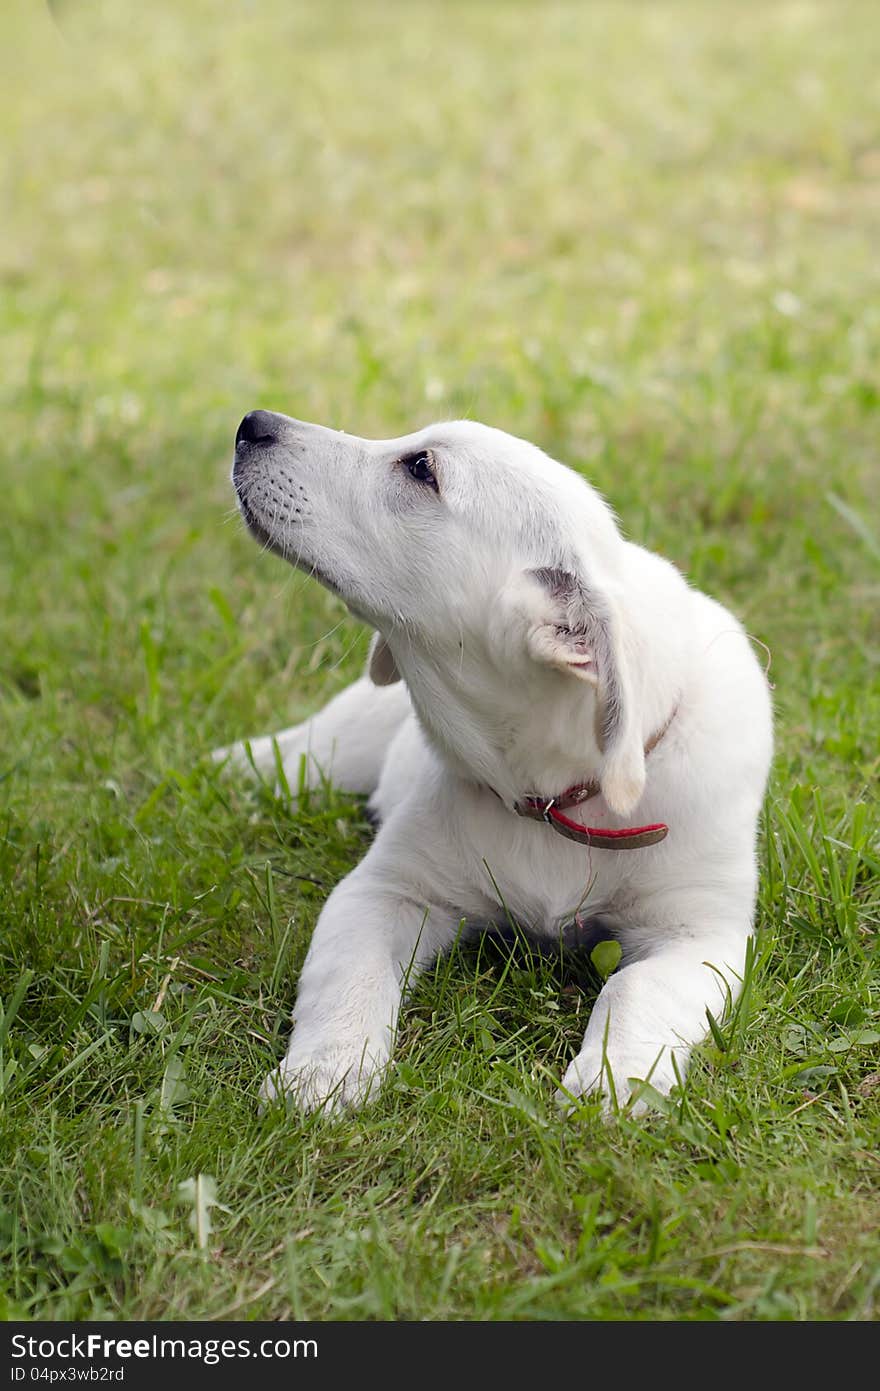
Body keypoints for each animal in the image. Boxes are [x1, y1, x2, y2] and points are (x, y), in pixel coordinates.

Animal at [218, 411, 767, 1118]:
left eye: (421, 468)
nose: (253, 422)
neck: (554, 801)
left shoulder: (700, 936)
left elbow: (637, 990)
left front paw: (614, 1080)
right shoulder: (383, 891)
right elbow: (349, 977)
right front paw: (326, 1071)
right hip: (347, 740)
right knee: (303, 748)